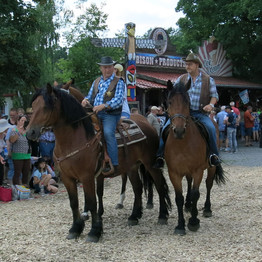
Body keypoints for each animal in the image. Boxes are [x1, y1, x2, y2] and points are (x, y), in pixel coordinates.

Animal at [26, 85, 170, 243]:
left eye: (46, 106)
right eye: (33, 106)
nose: (30, 132)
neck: (74, 140)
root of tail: (147, 124)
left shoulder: (87, 177)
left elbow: (92, 200)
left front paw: (94, 231)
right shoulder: (67, 178)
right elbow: (74, 202)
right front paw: (75, 229)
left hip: (150, 164)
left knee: (159, 185)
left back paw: (162, 216)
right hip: (132, 167)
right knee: (137, 188)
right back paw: (134, 216)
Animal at [165, 79, 224, 235]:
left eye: (187, 102)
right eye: (170, 102)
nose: (179, 130)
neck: (182, 143)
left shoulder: (198, 170)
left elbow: (196, 193)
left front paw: (193, 221)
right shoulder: (174, 173)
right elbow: (178, 198)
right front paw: (180, 225)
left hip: (211, 167)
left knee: (208, 184)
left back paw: (207, 209)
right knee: (189, 183)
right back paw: (188, 205)